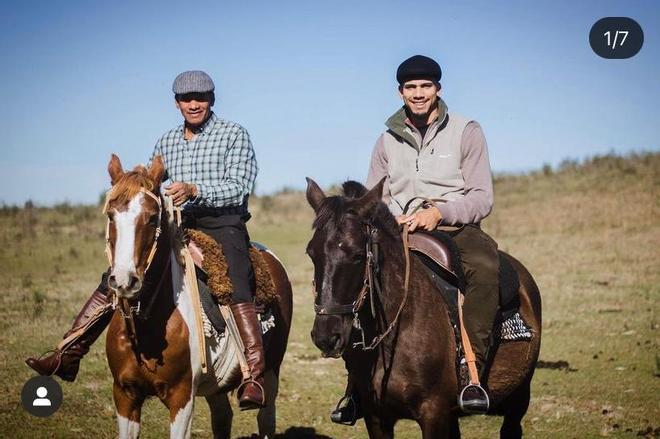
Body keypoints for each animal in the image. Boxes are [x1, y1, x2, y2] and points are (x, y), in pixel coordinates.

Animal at [102, 156, 292, 438]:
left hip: (271, 371)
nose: (125, 280)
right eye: (111, 215)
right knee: (222, 417)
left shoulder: (181, 397)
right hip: (216, 384)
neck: (147, 326)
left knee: (266, 419)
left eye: (152, 218)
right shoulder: (125, 394)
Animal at [304, 177, 540, 438]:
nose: (326, 336)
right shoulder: (376, 416)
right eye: (311, 253)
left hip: (519, 396)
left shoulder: (433, 412)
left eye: (357, 255)